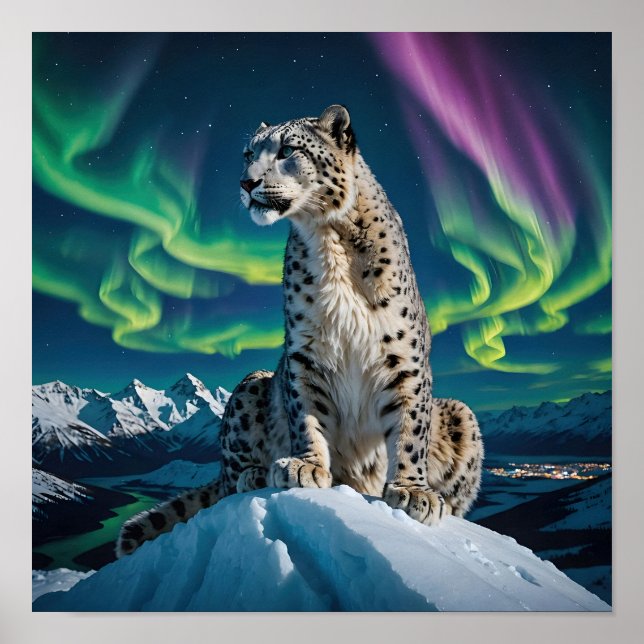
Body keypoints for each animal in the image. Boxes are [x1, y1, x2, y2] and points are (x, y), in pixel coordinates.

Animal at [116, 105, 483, 558]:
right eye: (247, 153)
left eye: (288, 149)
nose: (246, 182)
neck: (329, 240)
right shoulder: (304, 352)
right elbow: (305, 412)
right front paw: (305, 466)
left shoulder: (405, 357)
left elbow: (411, 429)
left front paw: (412, 490)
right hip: (250, 386)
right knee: (229, 476)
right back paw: (257, 473)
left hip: (461, 414)